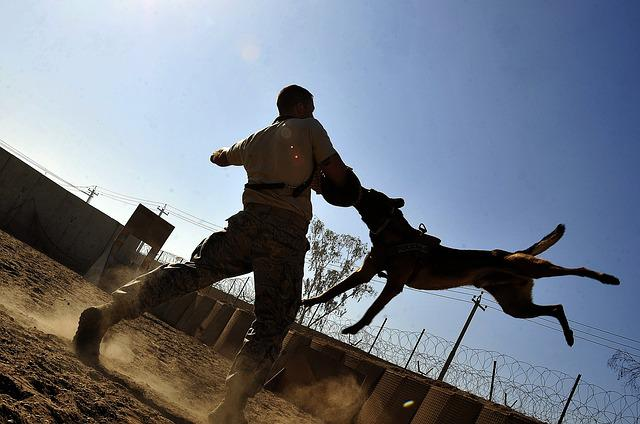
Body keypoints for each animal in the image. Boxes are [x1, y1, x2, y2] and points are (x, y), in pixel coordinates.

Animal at [304, 188, 620, 344]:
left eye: (370, 193)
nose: (356, 185)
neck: (394, 235)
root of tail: (515, 253)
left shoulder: (393, 284)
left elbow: (371, 310)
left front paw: (355, 328)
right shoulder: (364, 273)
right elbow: (331, 291)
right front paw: (308, 301)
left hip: (532, 269)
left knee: (575, 271)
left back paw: (606, 278)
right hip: (516, 306)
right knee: (556, 307)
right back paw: (569, 335)